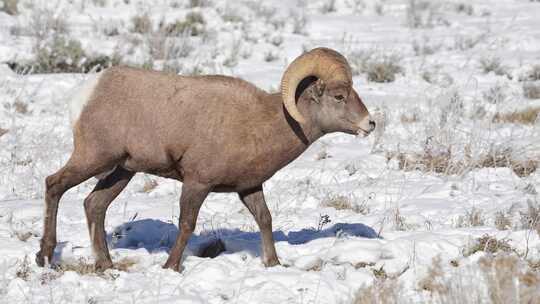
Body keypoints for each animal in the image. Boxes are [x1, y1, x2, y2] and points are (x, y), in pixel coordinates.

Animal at [35, 47, 374, 270]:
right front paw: (171, 267)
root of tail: (86, 94)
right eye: (339, 96)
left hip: (121, 171)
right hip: (94, 158)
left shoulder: (249, 188)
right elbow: (187, 224)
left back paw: (106, 264)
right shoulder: (197, 183)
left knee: (94, 205)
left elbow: (265, 219)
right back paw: (45, 257)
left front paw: (274, 264)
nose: (370, 124)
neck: (262, 123)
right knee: (54, 185)